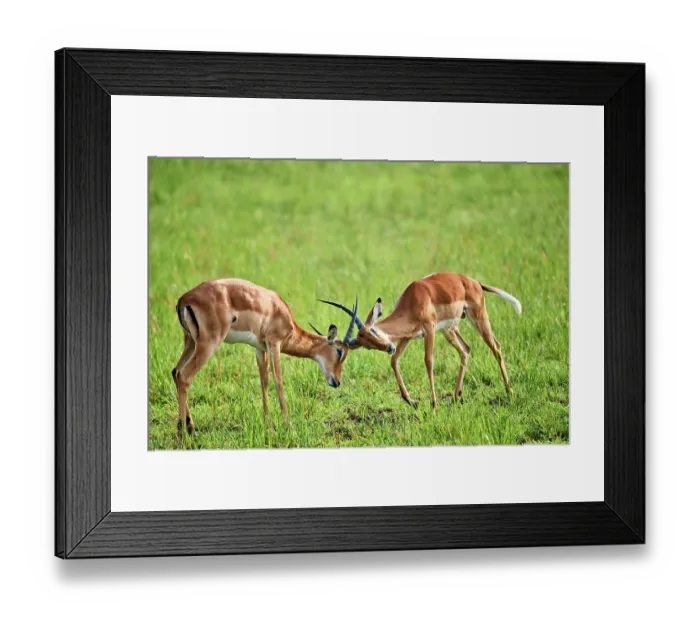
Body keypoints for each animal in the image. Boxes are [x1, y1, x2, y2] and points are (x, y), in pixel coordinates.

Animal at [172, 278, 366, 438]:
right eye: (340, 352)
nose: (337, 381)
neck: (279, 310)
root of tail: (184, 299)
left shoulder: (260, 348)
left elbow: (264, 381)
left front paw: (269, 425)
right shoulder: (275, 344)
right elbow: (278, 381)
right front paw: (289, 426)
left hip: (190, 341)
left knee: (176, 372)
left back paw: (189, 427)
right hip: (208, 343)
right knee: (185, 376)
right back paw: (184, 432)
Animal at [320, 272, 522, 408]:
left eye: (374, 331)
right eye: (367, 346)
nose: (389, 347)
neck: (413, 301)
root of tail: (474, 282)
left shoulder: (429, 329)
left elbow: (428, 361)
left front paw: (434, 404)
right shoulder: (407, 337)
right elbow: (394, 361)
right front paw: (411, 401)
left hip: (477, 318)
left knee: (496, 346)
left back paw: (510, 392)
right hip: (449, 329)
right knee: (466, 349)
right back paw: (456, 396)